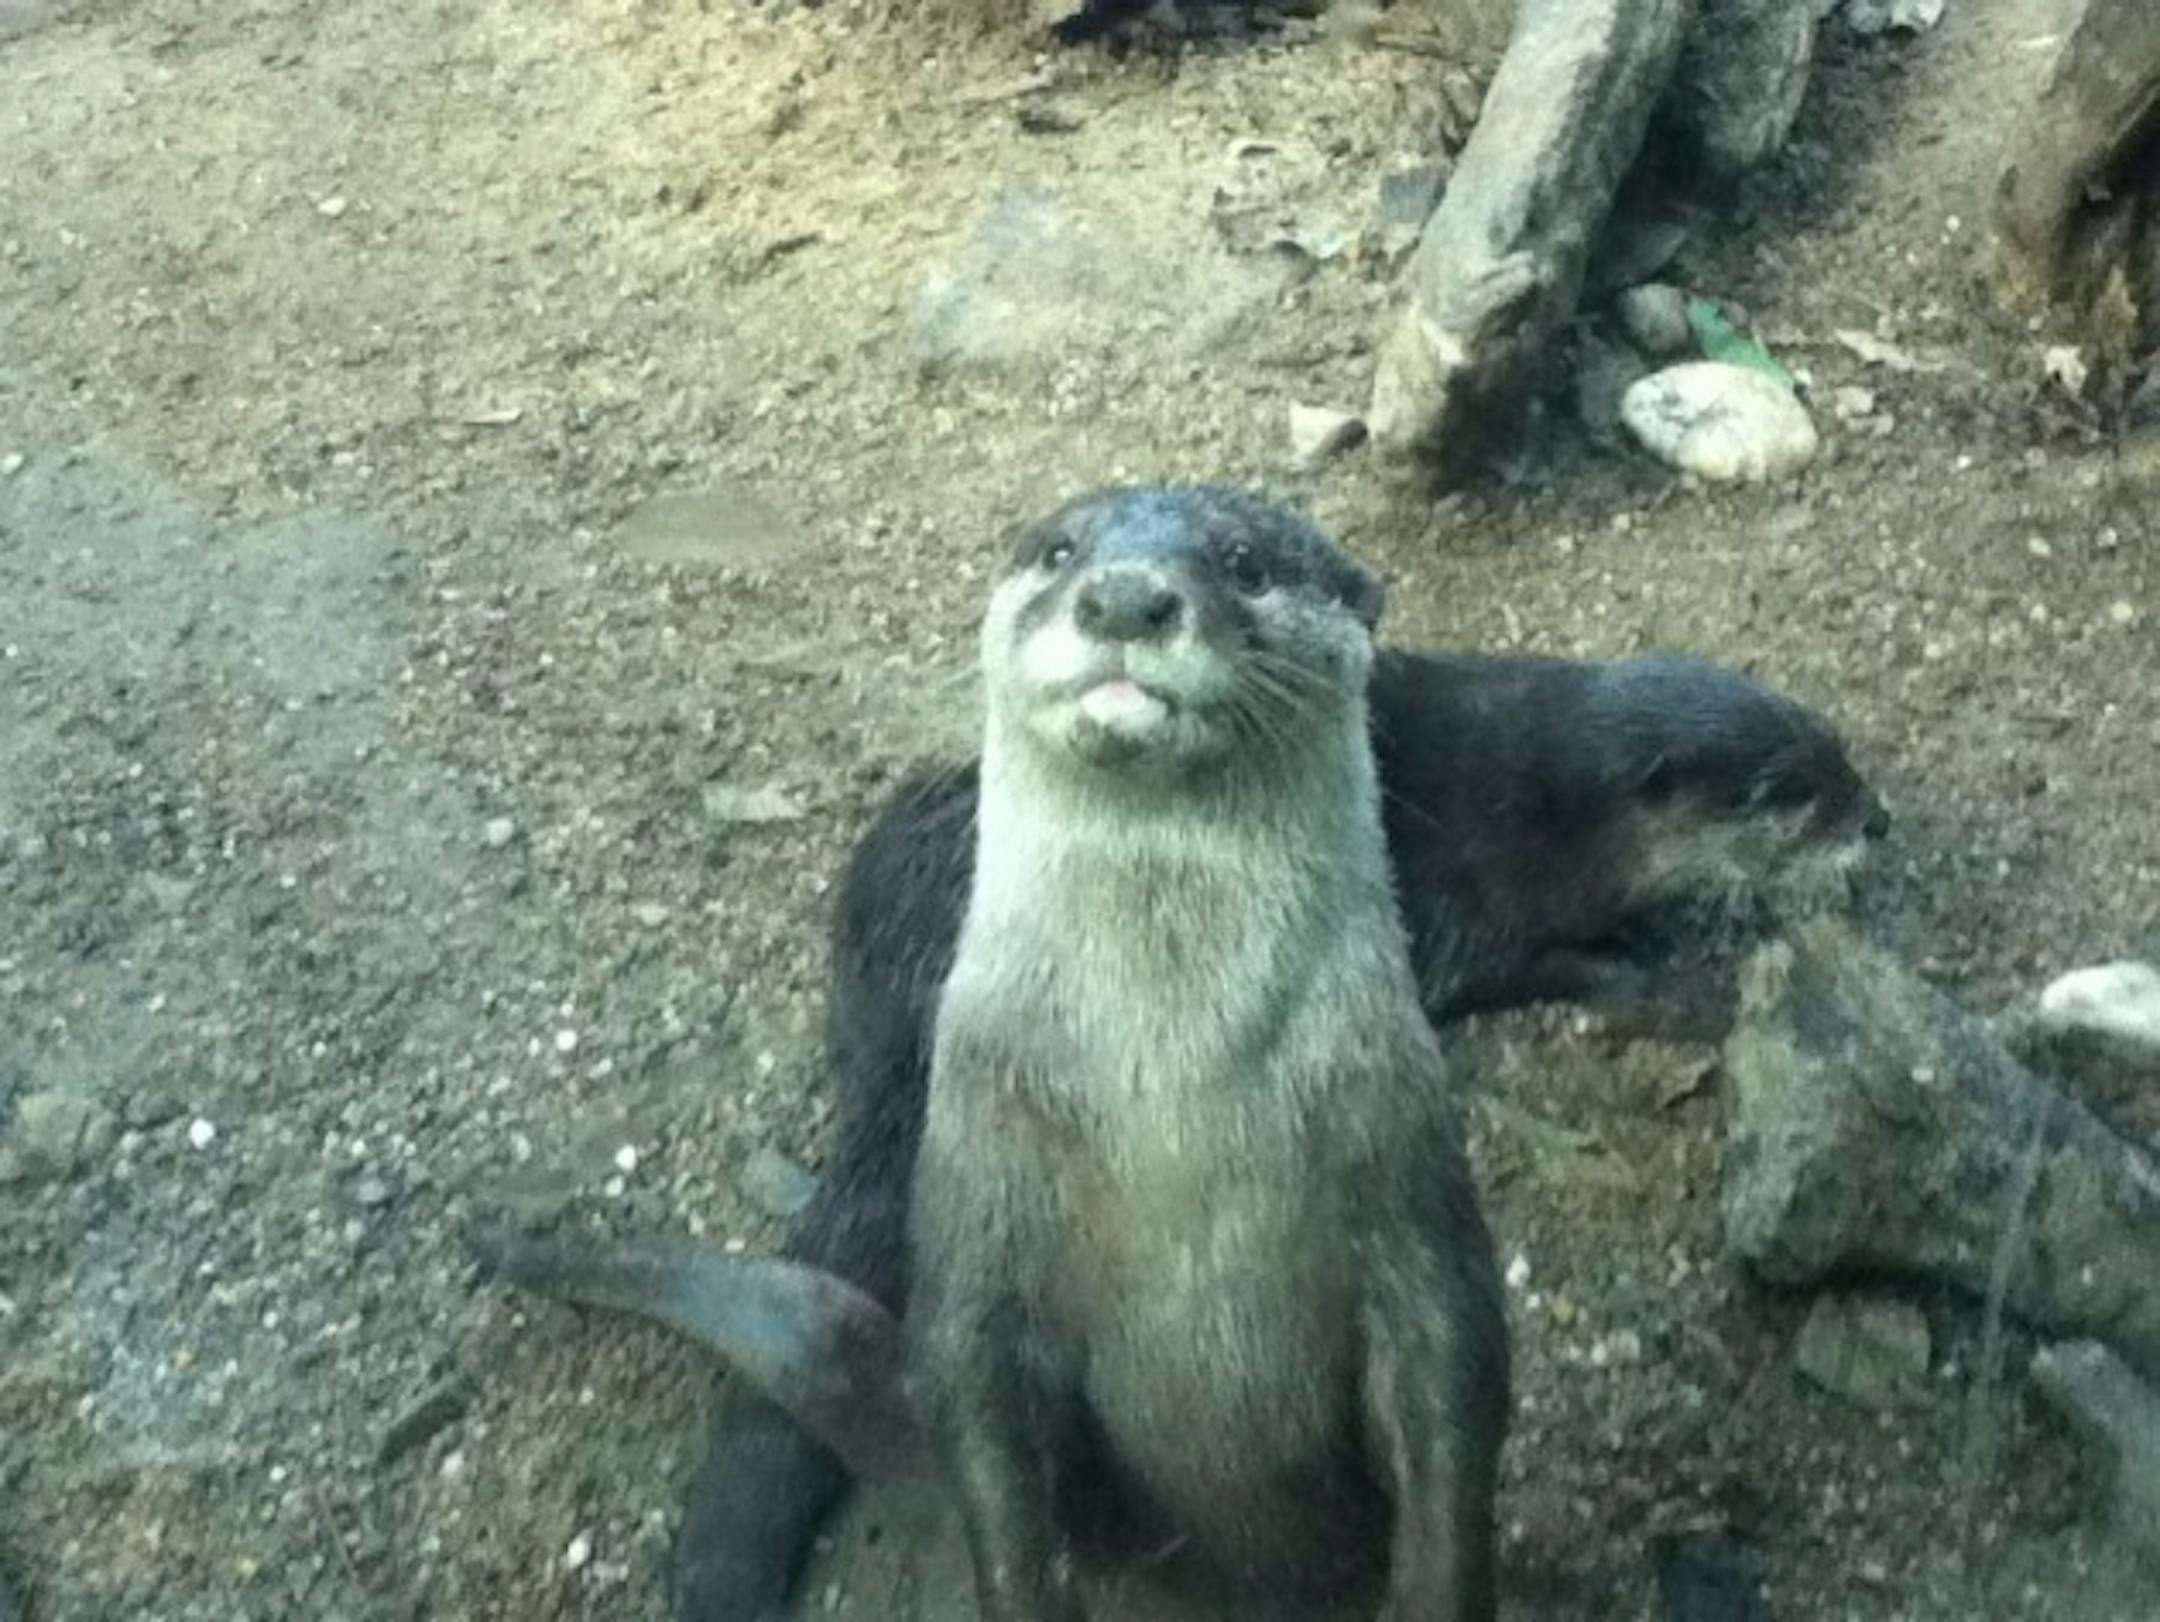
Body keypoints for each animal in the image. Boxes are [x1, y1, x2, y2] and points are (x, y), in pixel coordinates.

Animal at [472, 487, 1888, 1622]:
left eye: (1835, 747)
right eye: (1790, 792)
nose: (1878, 817)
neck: (1558, 793)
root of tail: (883, 986)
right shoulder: (1488, 897)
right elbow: (1563, 965)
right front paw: (1685, 973)